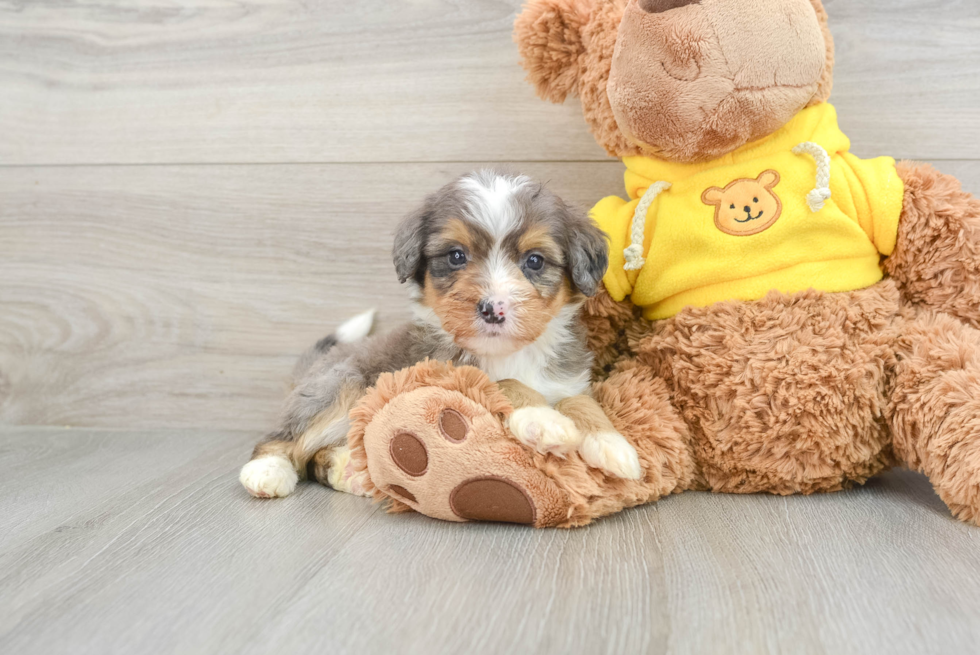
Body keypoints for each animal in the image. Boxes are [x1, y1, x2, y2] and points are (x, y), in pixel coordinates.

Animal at [242, 172, 648, 500]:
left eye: (534, 261)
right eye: (456, 256)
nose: (492, 309)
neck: (507, 353)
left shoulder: (567, 381)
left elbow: (583, 404)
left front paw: (611, 443)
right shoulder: (443, 379)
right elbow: (505, 384)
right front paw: (544, 420)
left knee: (317, 456)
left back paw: (350, 471)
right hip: (342, 389)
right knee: (283, 439)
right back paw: (266, 472)